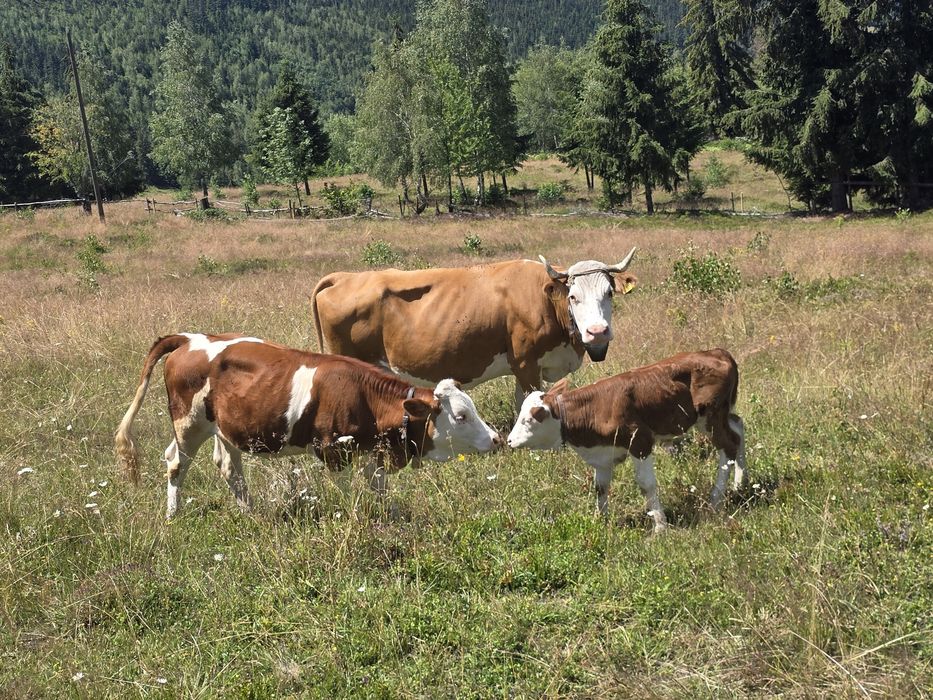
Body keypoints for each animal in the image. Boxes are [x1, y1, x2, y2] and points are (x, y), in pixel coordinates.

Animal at [114, 333, 501, 518]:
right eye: (461, 416)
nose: (496, 439)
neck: (362, 394)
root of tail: (190, 338)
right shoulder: (332, 450)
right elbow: (348, 492)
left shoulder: (371, 451)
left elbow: (378, 488)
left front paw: (387, 515)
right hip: (188, 423)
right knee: (175, 463)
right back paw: (172, 515)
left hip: (222, 429)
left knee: (228, 467)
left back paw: (250, 513)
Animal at [311, 251, 638, 408]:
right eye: (573, 296)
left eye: (609, 292)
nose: (597, 332)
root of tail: (345, 277)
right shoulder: (525, 362)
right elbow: (530, 400)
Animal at [506, 349, 747, 533]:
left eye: (529, 419)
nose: (509, 441)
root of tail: (717, 352)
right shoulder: (603, 453)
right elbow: (600, 488)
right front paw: (600, 520)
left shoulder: (640, 441)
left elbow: (646, 484)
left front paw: (660, 526)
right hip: (721, 415)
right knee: (738, 428)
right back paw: (740, 484)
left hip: (711, 416)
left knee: (728, 446)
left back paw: (715, 500)